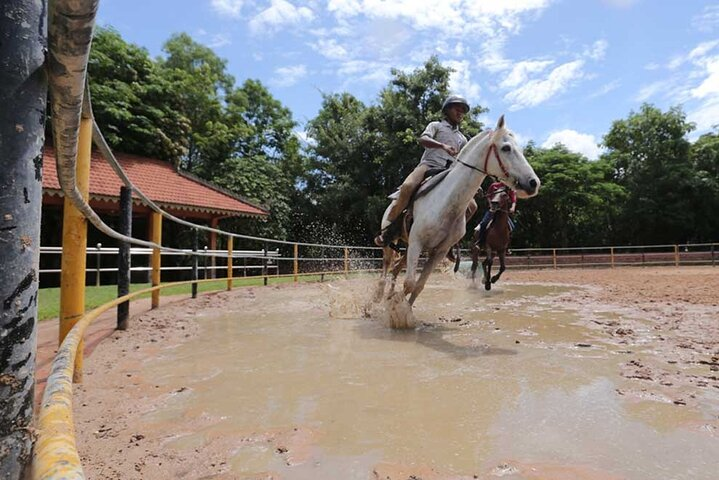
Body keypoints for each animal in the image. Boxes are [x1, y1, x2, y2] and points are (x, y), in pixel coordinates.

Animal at [374, 115, 540, 327]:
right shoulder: (417, 242)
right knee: (386, 268)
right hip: (392, 243)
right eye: (506, 148)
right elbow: (410, 283)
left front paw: (402, 312)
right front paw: (396, 311)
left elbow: (419, 285)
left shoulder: (438, 251)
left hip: (409, 246)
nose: (533, 183)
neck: (446, 202)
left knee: (395, 269)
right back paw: (374, 301)